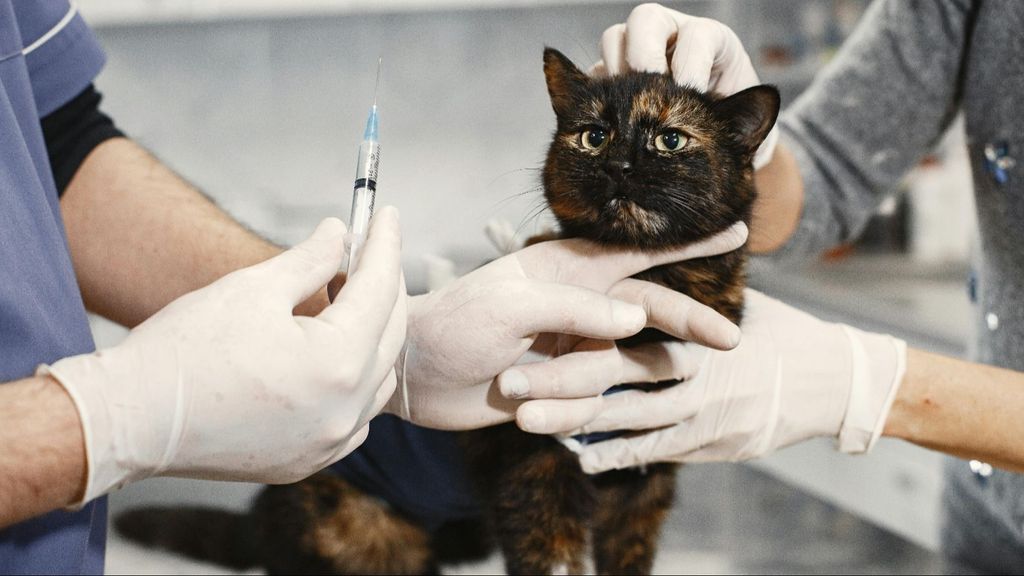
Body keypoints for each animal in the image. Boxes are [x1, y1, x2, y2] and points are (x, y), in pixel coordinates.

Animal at [112, 48, 778, 573]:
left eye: (670, 139)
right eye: (594, 135)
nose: (619, 165)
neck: (649, 284)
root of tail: (261, 519)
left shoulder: (644, 478)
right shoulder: (533, 469)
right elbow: (552, 560)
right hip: (364, 535)